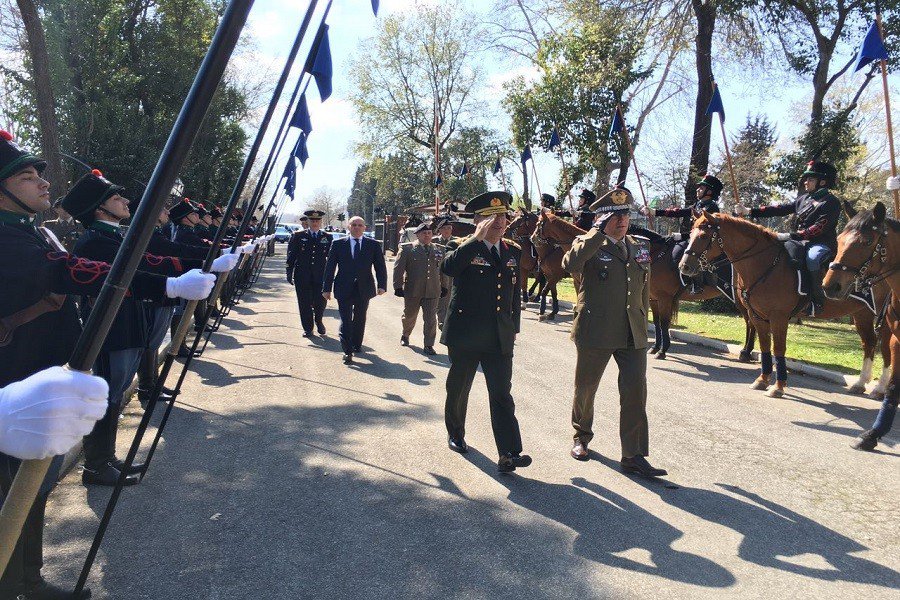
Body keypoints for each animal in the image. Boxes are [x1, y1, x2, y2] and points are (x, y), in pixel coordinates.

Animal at [684, 211, 888, 398]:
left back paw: (880, 388)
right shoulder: (757, 316)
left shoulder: (778, 317)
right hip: (862, 313)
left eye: (703, 236)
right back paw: (861, 383)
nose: (684, 266)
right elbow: (765, 346)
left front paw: (778, 386)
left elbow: (778, 349)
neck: (765, 264)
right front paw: (762, 380)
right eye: (691, 233)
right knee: (869, 342)